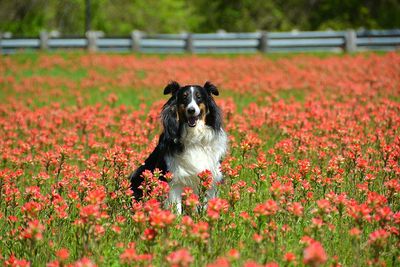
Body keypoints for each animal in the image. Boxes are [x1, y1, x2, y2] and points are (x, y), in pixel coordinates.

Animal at [130, 80, 227, 215]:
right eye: (184, 97)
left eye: (199, 97)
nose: (191, 110)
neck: (194, 136)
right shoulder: (174, 180)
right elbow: (176, 209)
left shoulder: (210, 178)